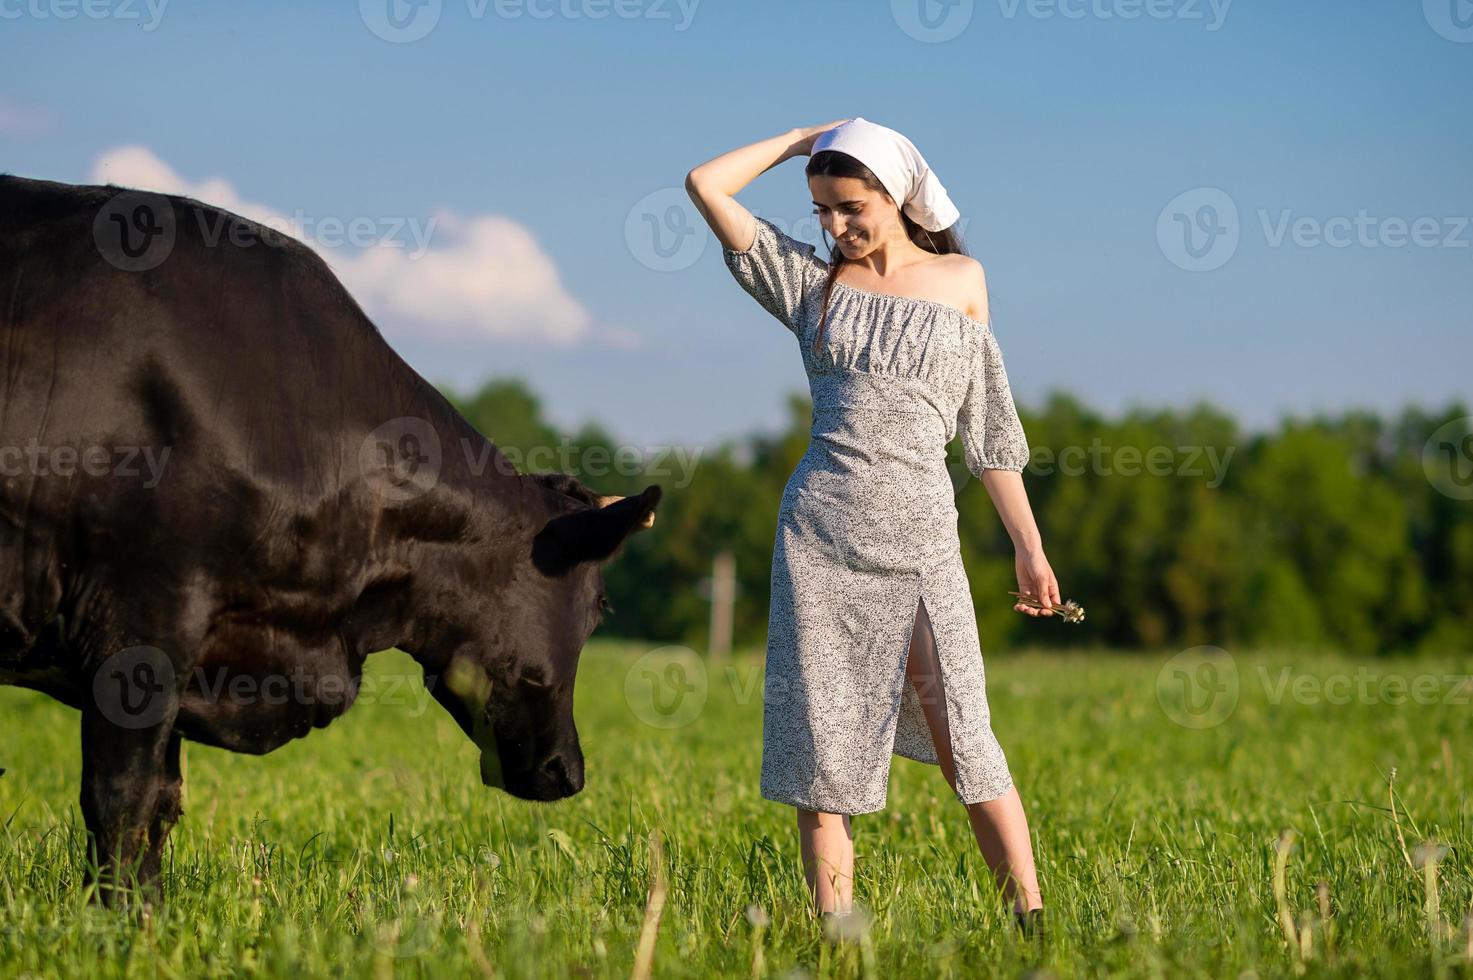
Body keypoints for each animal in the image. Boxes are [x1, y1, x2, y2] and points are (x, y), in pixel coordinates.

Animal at [0, 177, 659, 901]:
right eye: (599, 608)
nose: (571, 772)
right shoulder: (143, 611)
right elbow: (125, 798)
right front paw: (118, 920)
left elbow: (164, 802)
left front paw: (153, 911)